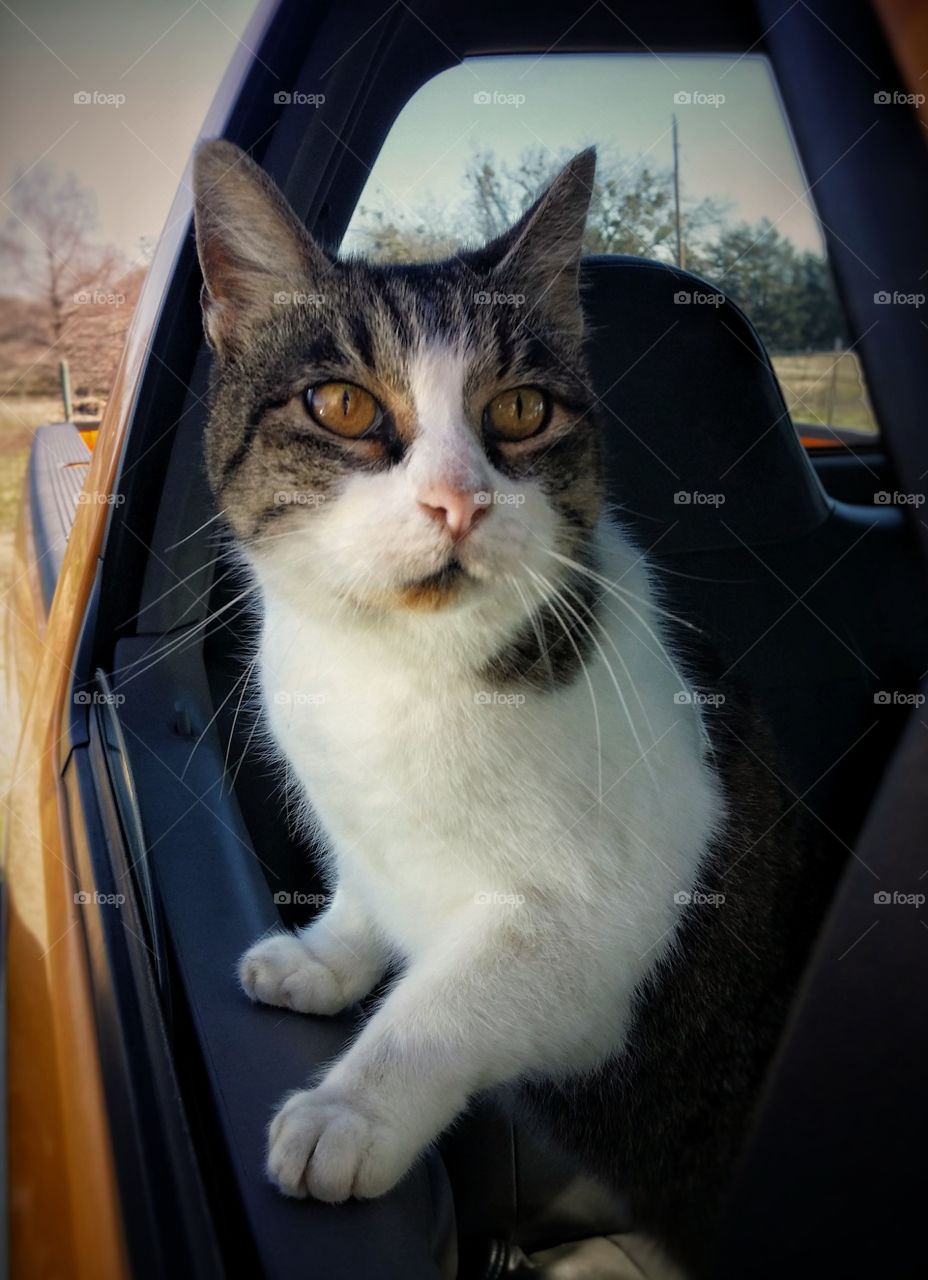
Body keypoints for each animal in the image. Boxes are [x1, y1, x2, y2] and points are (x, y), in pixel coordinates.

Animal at [192, 142, 829, 1280]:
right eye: (342, 404)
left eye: (523, 411)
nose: (458, 499)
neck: (395, 669)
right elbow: (365, 880)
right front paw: (326, 956)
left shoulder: (606, 918)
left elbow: (450, 1000)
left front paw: (350, 1110)